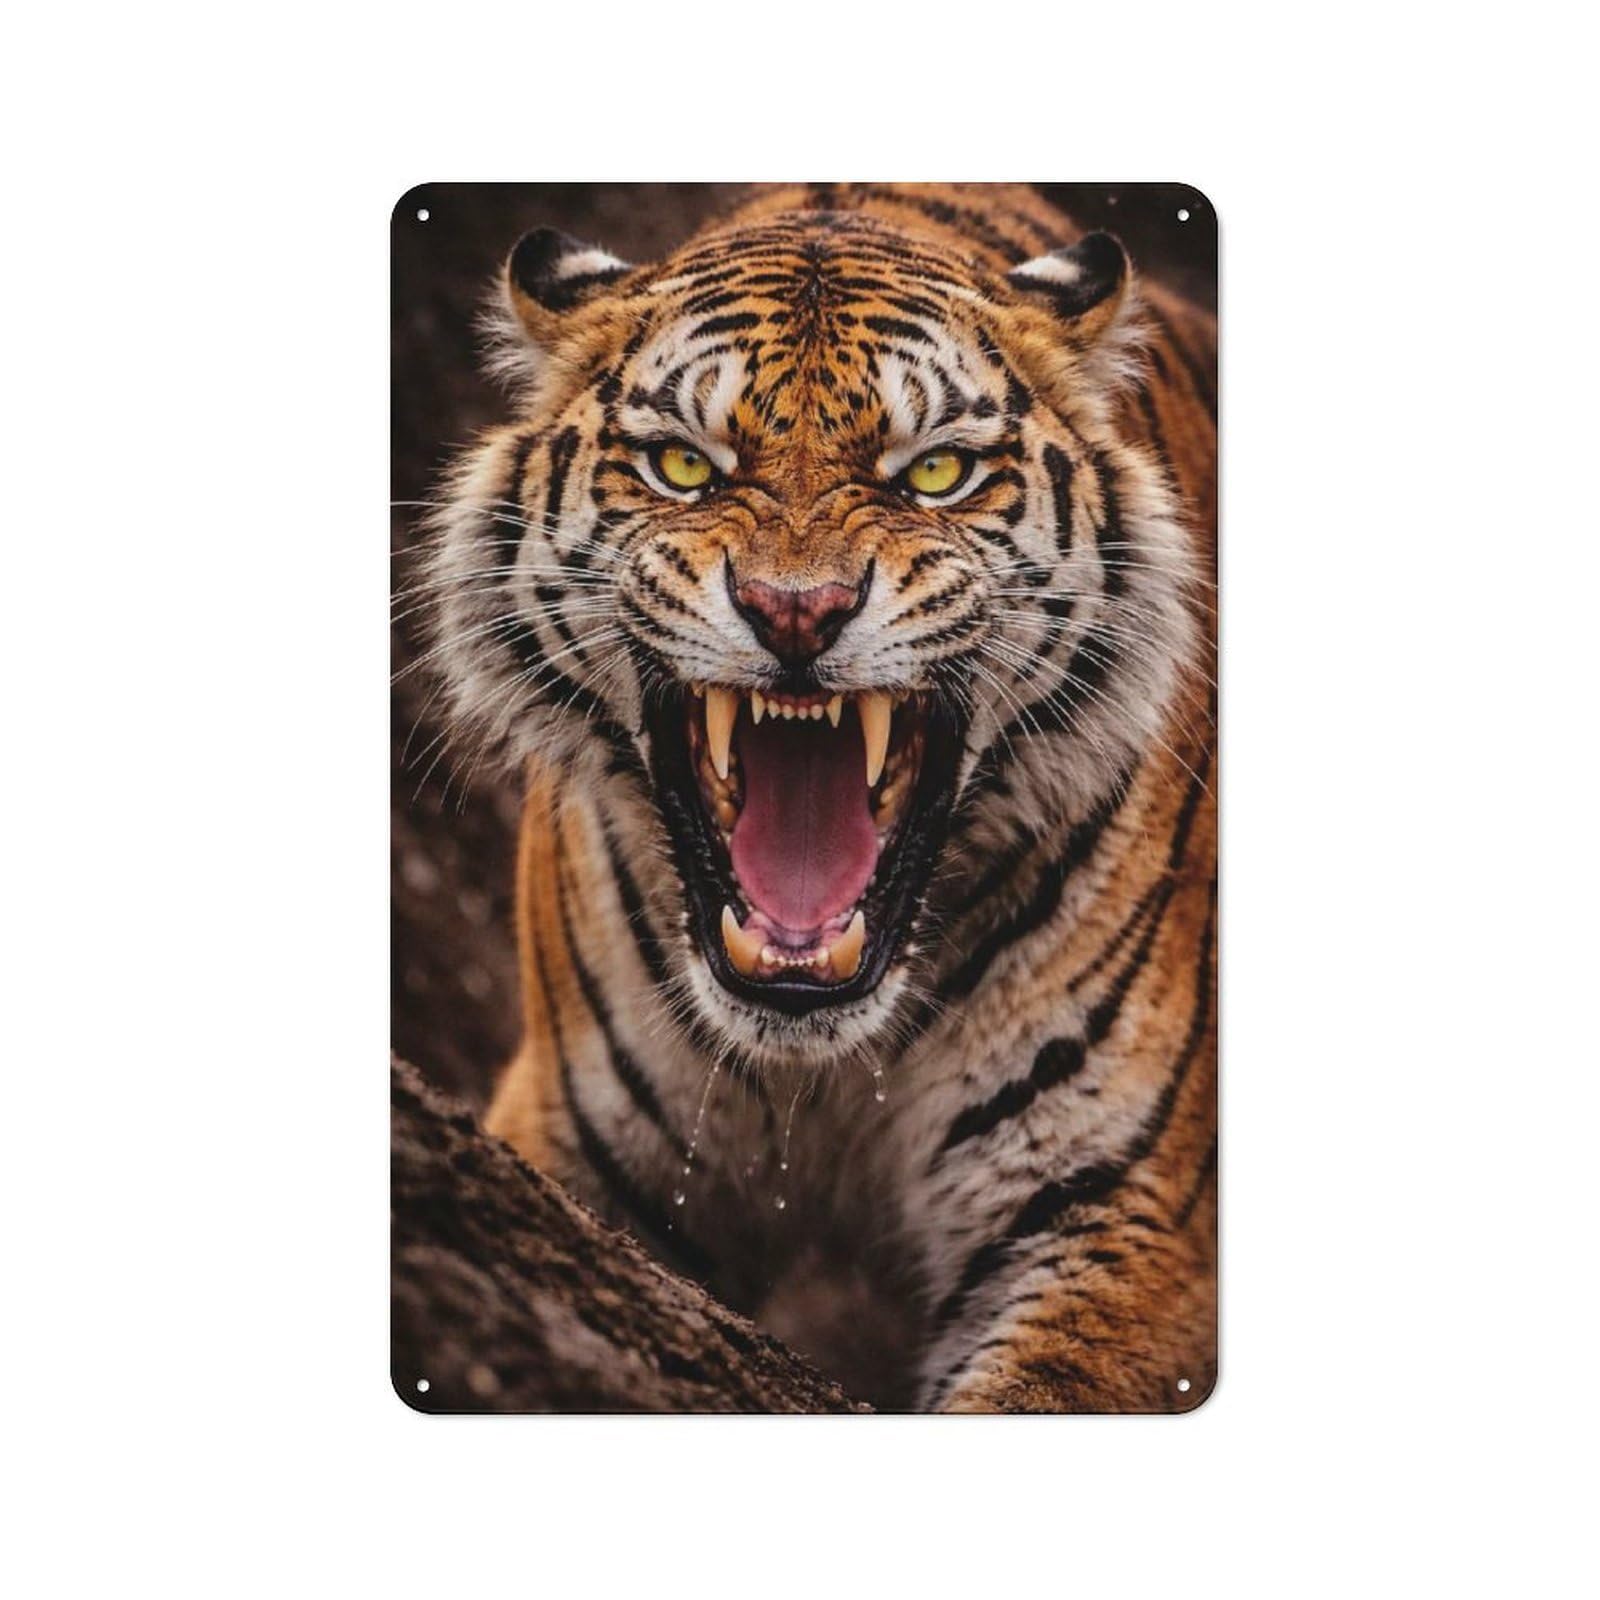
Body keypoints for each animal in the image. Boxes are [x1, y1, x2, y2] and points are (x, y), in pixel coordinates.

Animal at [419, 183, 1217, 1411]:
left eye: (932, 473)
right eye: (682, 466)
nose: (797, 609)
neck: (824, 1070)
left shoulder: (1123, 1216)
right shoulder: (562, 1143)